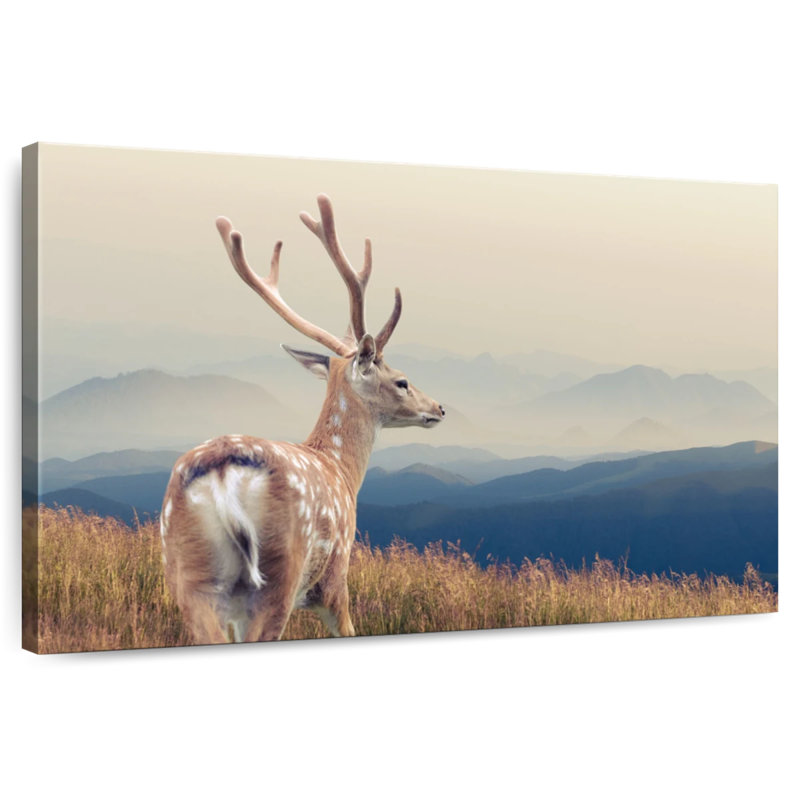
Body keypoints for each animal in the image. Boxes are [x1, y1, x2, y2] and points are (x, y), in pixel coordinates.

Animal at [160, 194, 445, 645]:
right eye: (401, 381)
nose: (438, 408)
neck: (342, 471)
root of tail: (222, 475)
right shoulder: (335, 578)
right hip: (279, 573)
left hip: (188, 573)